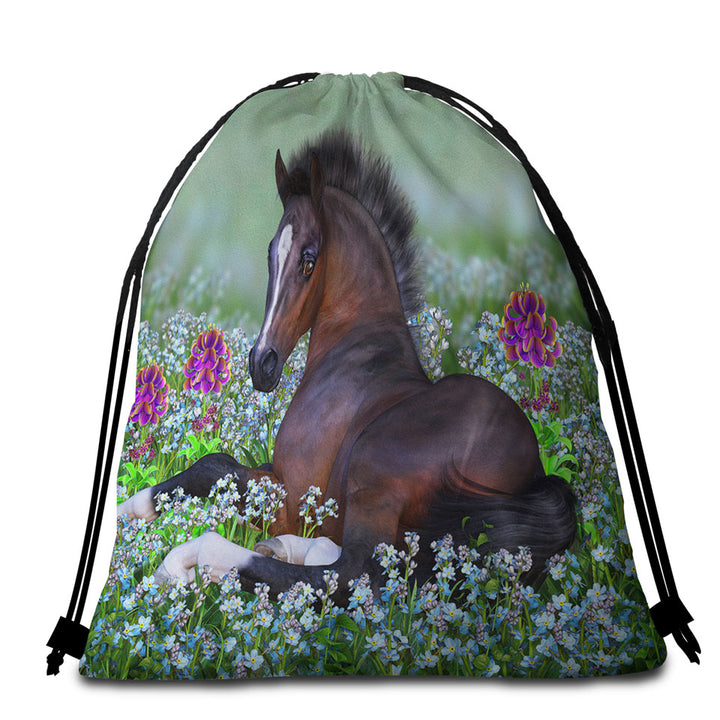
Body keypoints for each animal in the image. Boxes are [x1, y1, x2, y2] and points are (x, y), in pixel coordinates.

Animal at [118, 131, 577, 598]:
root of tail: (535, 472)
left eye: (308, 259)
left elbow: (217, 471)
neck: (355, 355)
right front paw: (125, 514)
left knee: (352, 576)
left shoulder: (295, 498)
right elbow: (213, 467)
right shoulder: (276, 478)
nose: (262, 363)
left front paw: (169, 557)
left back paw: (191, 559)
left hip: (374, 473)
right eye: (270, 252)